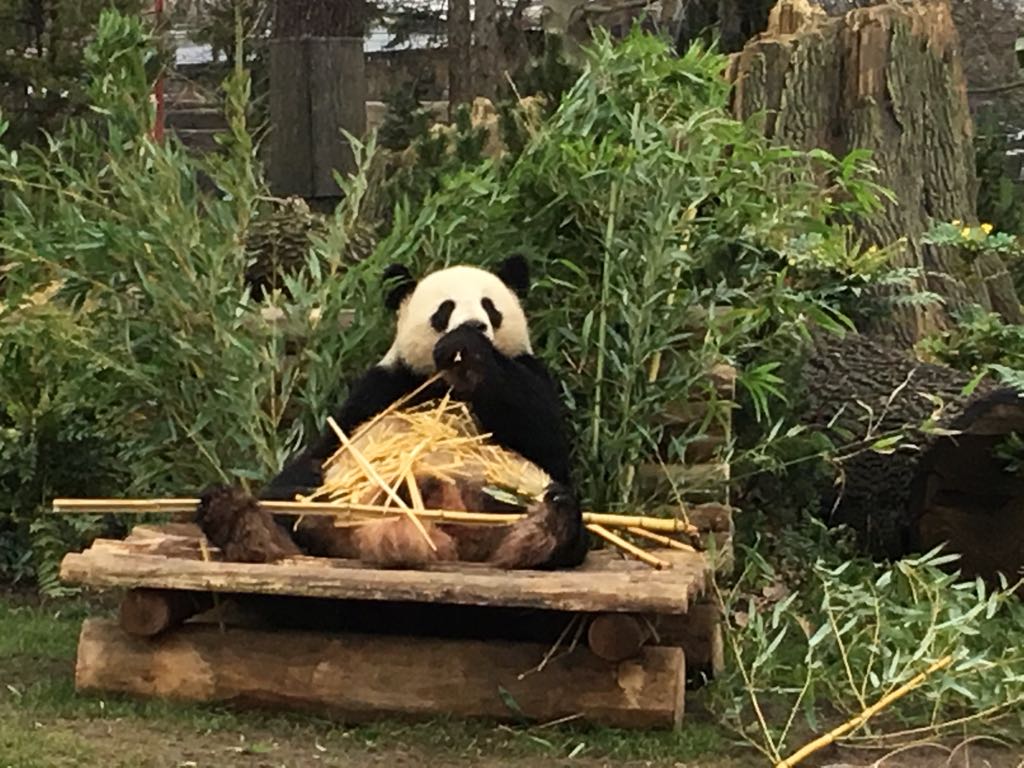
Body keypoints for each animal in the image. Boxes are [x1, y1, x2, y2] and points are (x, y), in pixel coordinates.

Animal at [196, 255, 589, 571]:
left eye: (490, 306)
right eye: (445, 309)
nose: (475, 325)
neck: (445, 383)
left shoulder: (528, 373)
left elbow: (545, 439)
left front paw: (470, 349)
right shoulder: (384, 385)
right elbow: (327, 445)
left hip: (508, 503)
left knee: (565, 517)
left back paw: (549, 526)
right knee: (295, 501)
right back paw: (235, 519)